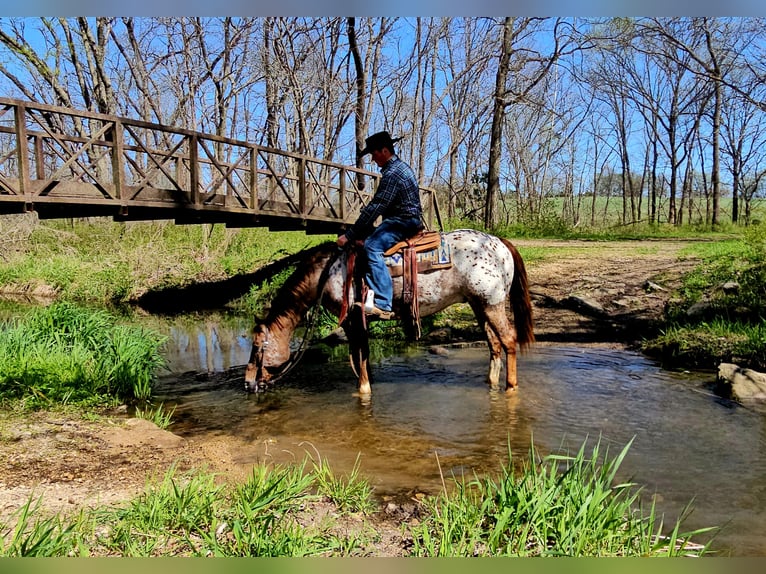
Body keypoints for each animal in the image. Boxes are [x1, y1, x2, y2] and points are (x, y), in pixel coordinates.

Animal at [244, 228, 536, 396]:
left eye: (257, 347)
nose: (247, 384)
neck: (328, 271)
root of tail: (500, 243)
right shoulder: (353, 323)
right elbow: (361, 355)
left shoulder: (354, 319)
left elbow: (360, 354)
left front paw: (363, 391)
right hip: (479, 305)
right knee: (494, 344)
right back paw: (491, 383)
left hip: (492, 303)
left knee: (508, 340)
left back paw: (511, 388)